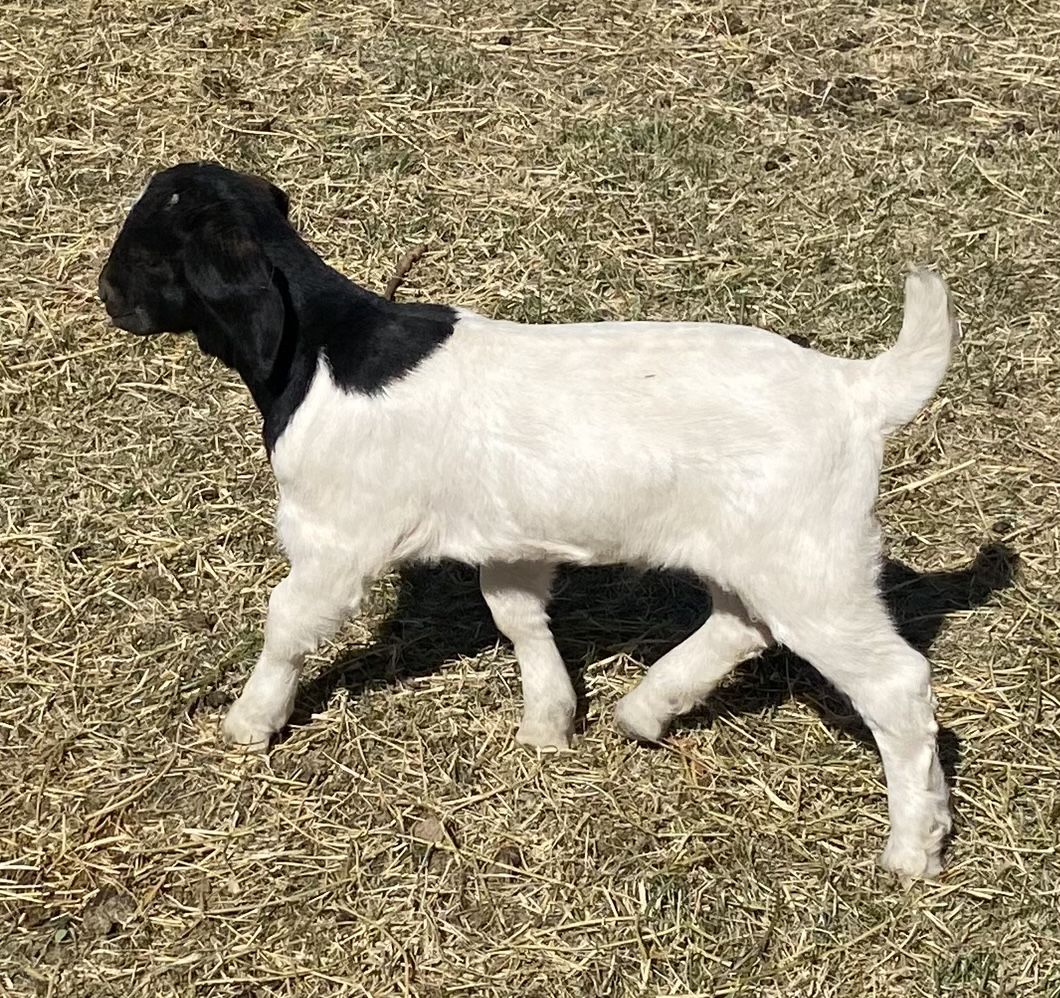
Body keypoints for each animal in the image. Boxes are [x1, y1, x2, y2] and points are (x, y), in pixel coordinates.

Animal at [98, 161, 958, 878]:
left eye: (145, 251)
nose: (105, 295)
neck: (322, 351)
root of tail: (858, 391)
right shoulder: (508, 534)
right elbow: (516, 613)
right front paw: (550, 719)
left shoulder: (335, 539)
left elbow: (286, 624)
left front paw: (250, 721)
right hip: (762, 551)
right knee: (741, 624)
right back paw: (646, 710)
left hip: (814, 565)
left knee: (895, 684)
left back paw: (914, 847)